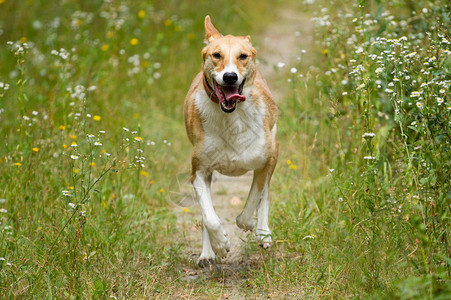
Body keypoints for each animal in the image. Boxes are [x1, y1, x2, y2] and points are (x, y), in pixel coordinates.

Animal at [185, 15, 278, 268]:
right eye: (216, 55)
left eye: (242, 56)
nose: (230, 76)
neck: (231, 117)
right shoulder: (199, 171)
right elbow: (209, 217)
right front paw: (220, 245)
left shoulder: (266, 161)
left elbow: (256, 197)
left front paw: (250, 225)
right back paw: (207, 253)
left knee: (265, 193)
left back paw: (263, 232)